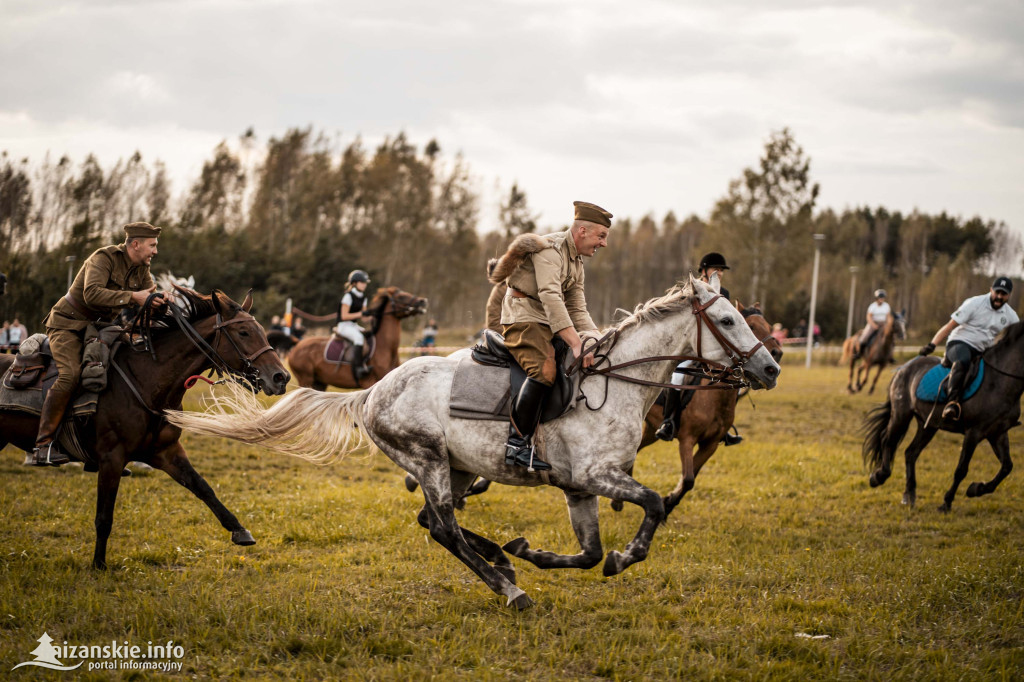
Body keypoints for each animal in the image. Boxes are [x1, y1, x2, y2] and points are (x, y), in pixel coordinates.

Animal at [0, 288, 290, 569]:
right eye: (243, 332)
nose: (281, 377)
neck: (145, 381)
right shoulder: (111, 459)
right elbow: (104, 516)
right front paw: (98, 564)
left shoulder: (166, 452)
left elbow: (203, 487)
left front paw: (240, 530)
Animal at [288, 284, 428, 391]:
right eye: (401, 296)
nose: (423, 301)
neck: (385, 347)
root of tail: (297, 346)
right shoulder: (371, 383)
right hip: (306, 380)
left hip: (319, 382)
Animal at [864, 321, 1024, 507]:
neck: (999, 381)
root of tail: (904, 368)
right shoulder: (974, 432)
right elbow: (961, 469)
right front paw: (946, 503)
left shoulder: (997, 432)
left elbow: (1007, 466)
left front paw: (976, 489)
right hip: (901, 415)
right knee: (887, 440)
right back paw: (878, 477)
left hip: (928, 424)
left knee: (910, 453)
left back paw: (909, 495)